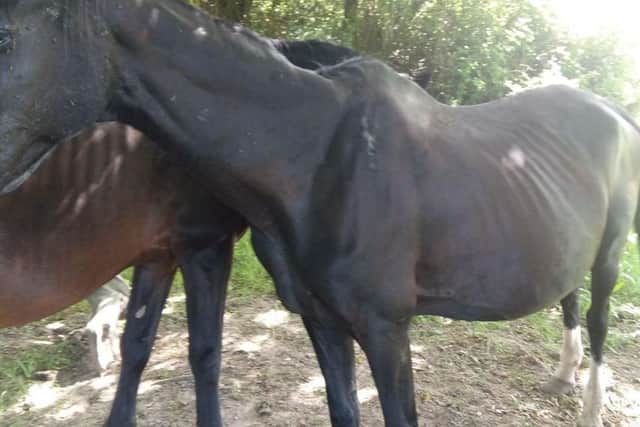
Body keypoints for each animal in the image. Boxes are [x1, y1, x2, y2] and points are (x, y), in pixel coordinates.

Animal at [1, 2, 638, 426]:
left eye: (6, 35)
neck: (318, 154)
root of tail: (613, 111)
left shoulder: (385, 329)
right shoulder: (321, 320)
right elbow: (342, 410)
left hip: (609, 254)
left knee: (600, 319)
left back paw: (590, 404)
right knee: (568, 296)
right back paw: (562, 376)